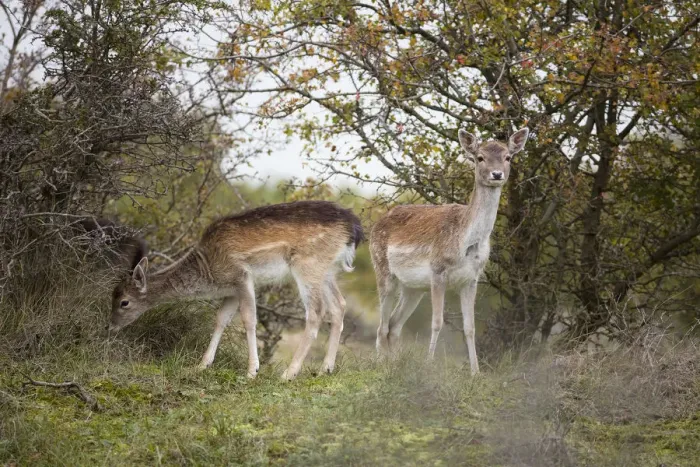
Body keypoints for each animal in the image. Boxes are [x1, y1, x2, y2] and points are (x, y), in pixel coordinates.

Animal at [108, 201, 364, 380]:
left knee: (316, 312)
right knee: (339, 305)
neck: (209, 270)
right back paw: (325, 369)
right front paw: (201, 365)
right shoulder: (231, 289)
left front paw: (252, 371)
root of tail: (354, 227)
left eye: (124, 302)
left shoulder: (242, 276)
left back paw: (288, 374)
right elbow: (220, 319)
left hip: (307, 265)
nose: (110, 327)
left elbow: (249, 319)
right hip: (328, 270)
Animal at [370, 127, 529, 374]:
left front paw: (476, 373)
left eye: (508, 157)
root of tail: (374, 225)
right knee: (382, 326)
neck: (466, 242)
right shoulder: (438, 270)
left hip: (413, 287)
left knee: (394, 324)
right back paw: (382, 367)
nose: (496, 174)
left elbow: (470, 326)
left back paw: (396, 366)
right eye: (479, 157)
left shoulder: (471, 278)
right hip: (383, 271)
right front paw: (428, 366)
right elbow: (436, 322)